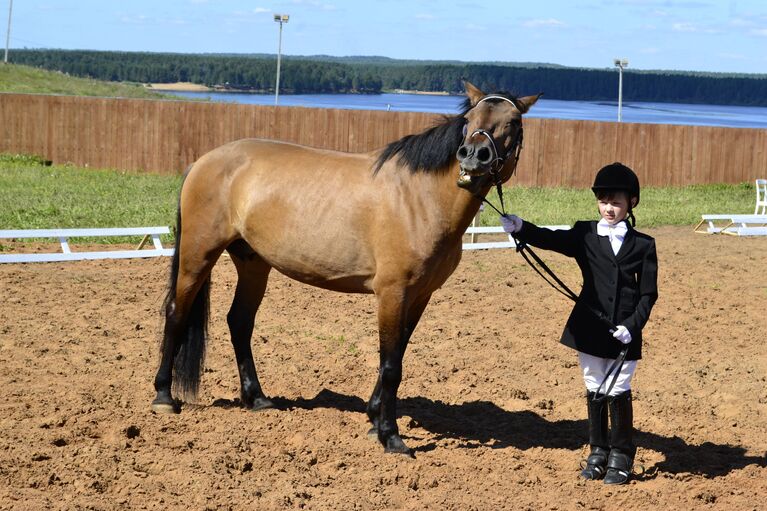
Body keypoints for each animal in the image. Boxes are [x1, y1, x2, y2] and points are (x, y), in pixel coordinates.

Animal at [154, 84, 540, 456]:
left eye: (513, 123)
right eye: (469, 119)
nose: (474, 156)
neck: (420, 197)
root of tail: (204, 161)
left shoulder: (419, 295)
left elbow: (397, 353)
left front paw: (374, 418)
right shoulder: (392, 292)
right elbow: (391, 365)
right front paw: (391, 437)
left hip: (253, 263)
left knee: (239, 322)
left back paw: (258, 399)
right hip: (198, 254)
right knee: (177, 313)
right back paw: (164, 397)